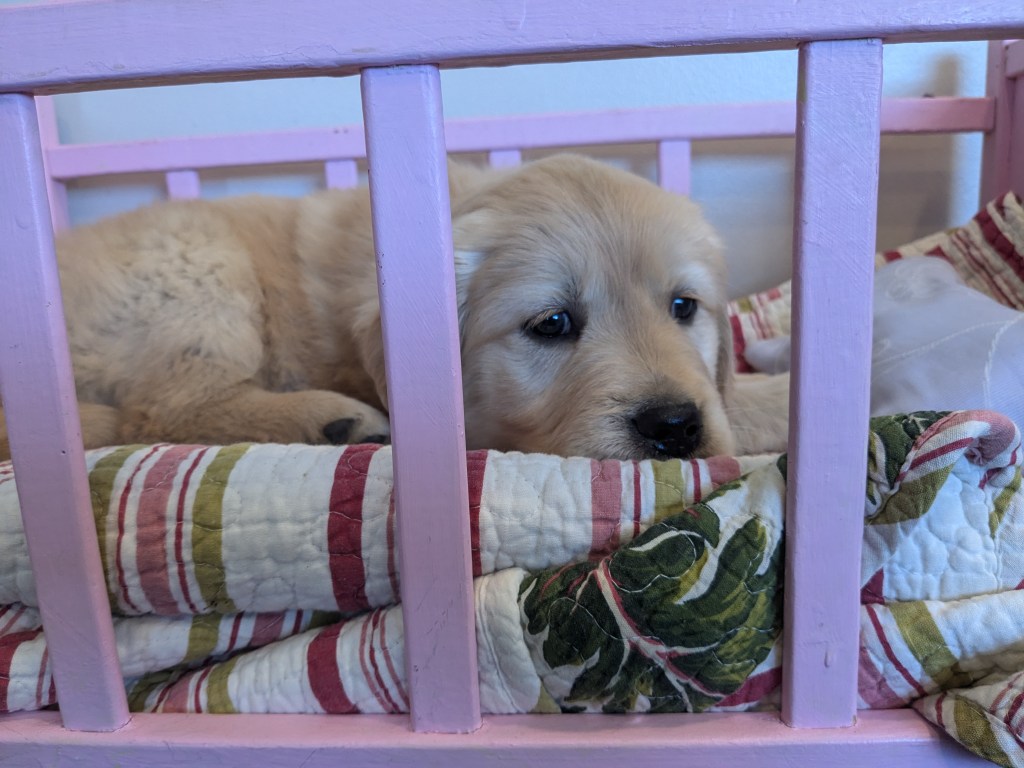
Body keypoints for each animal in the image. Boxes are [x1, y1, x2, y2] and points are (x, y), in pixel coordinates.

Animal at [0, 154, 788, 462]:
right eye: (553, 324)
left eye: (684, 306)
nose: (673, 426)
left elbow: (733, 397)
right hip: (196, 269)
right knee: (162, 411)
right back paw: (331, 421)